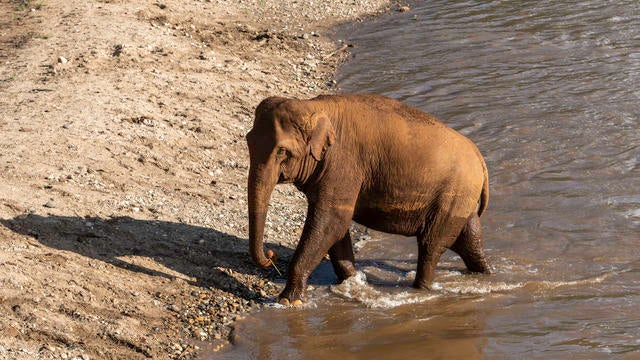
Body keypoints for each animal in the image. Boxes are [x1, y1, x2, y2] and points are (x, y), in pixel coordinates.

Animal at [245, 94, 490, 306]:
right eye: (248, 142)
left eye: (281, 151)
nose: (270, 255)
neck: (314, 106)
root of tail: (480, 160)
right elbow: (335, 227)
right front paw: (352, 282)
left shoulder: (343, 164)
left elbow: (331, 222)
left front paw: (288, 301)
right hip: (460, 199)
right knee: (469, 237)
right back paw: (484, 274)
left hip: (453, 195)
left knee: (431, 245)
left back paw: (420, 290)